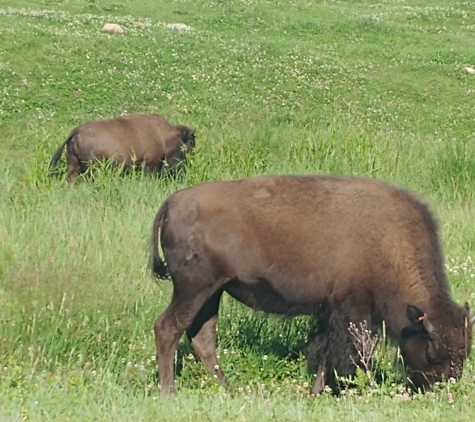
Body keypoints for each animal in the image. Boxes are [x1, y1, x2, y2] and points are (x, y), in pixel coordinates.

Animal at [49, 113, 195, 181]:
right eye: (190, 142)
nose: (184, 166)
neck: (162, 135)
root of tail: (75, 131)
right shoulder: (150, 164)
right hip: (92, 167)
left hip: (73, 165)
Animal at [151, 174, 474, 396]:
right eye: (431, 354)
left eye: (465, 351)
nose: (441, 389)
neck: (388, 242)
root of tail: (172, 202)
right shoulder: (352, 308)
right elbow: (354, 351)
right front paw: (359, 387)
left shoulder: (331, 311)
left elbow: (325, 353)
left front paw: (319, 390)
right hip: (193, 289)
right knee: (167, 328)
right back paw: (169, 391)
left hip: (212, 293)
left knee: (202, 338)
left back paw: (228, 387)